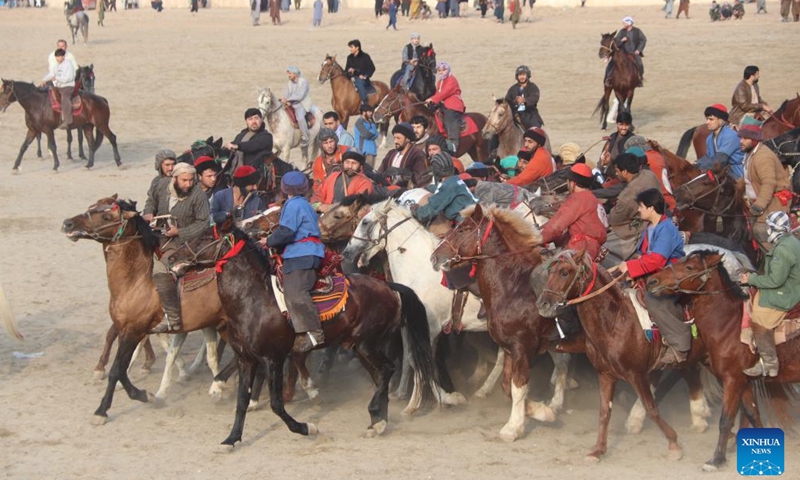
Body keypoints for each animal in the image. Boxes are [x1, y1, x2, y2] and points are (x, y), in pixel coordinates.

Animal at [60, 196, 225, 424]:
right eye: (91, 207)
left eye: (106, 216)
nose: (68, 224)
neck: (135, 281)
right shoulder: (126, 329)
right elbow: (122, 368)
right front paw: (146, 394)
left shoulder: (134, 330)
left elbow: (116, 370)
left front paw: (102, 410)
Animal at [165, 221, 434, 446]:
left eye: (203, 239)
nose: (172, 257)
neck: (253, 299)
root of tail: (389, 286)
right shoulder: (246, 360)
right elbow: (241, 401)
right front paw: (232, 438)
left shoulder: (272, 359)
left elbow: (276, 404)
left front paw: (306, 427)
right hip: (360, 346)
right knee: (380, 376)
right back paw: (378, 422)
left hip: (367, 344)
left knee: (387, 370)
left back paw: (376, 417)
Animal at [644, 251, 800, 472]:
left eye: (690, 267)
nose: (652, 281)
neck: (728, 325)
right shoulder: (744, 381)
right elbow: (752, 414)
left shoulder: (732, 380)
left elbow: (726, 420)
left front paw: (716, 459)